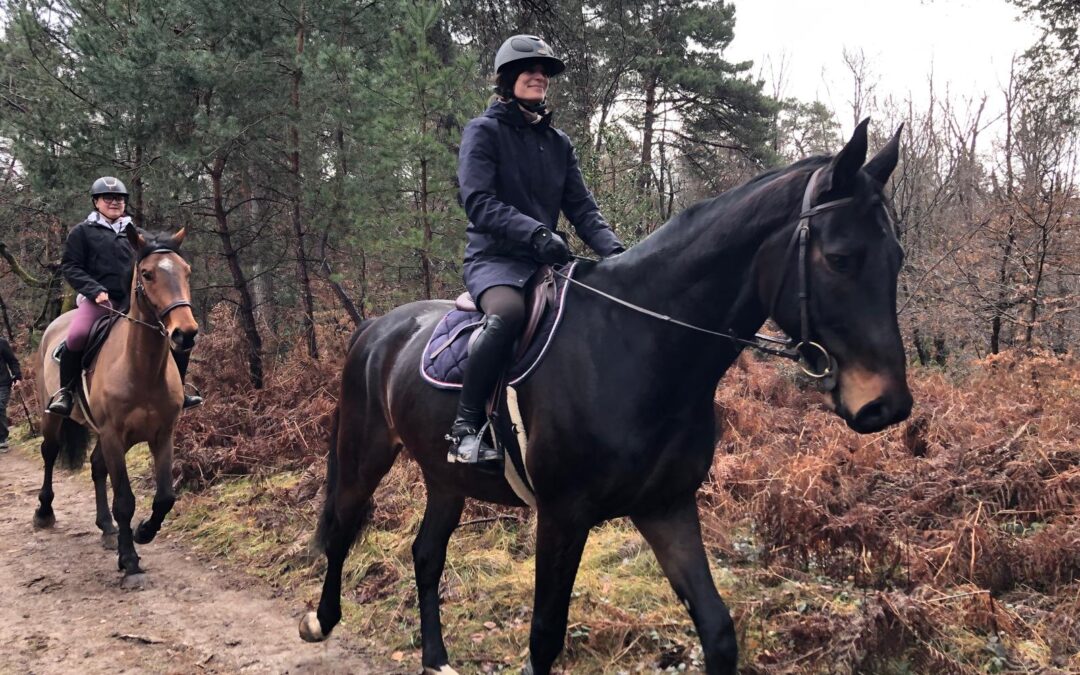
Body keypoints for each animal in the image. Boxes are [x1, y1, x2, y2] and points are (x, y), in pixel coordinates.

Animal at [33, 226, 198, 583]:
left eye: (186, 271)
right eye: (147, 274)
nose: (186, 333)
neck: (141, 369)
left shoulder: (162, 436)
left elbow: (165, 497)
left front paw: (143, 532)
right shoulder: (112, 435)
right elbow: (124, 500)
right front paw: (130, 561)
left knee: (97, 467)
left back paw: (107, 528)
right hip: (52, 418)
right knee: (50, 454)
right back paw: (44, 512)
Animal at [302, 122, 911, 673]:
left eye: (898, 258)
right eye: (840, 258)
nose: (888, 405)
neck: (636, 346)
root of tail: (377, 327)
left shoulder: (666, 506)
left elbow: (717, 631)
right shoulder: (562, 516)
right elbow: (545, 637)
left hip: (446, 476)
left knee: (426, 555)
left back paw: (435, 658)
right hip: (365, 453)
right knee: (343, 529)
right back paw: (321, 619)